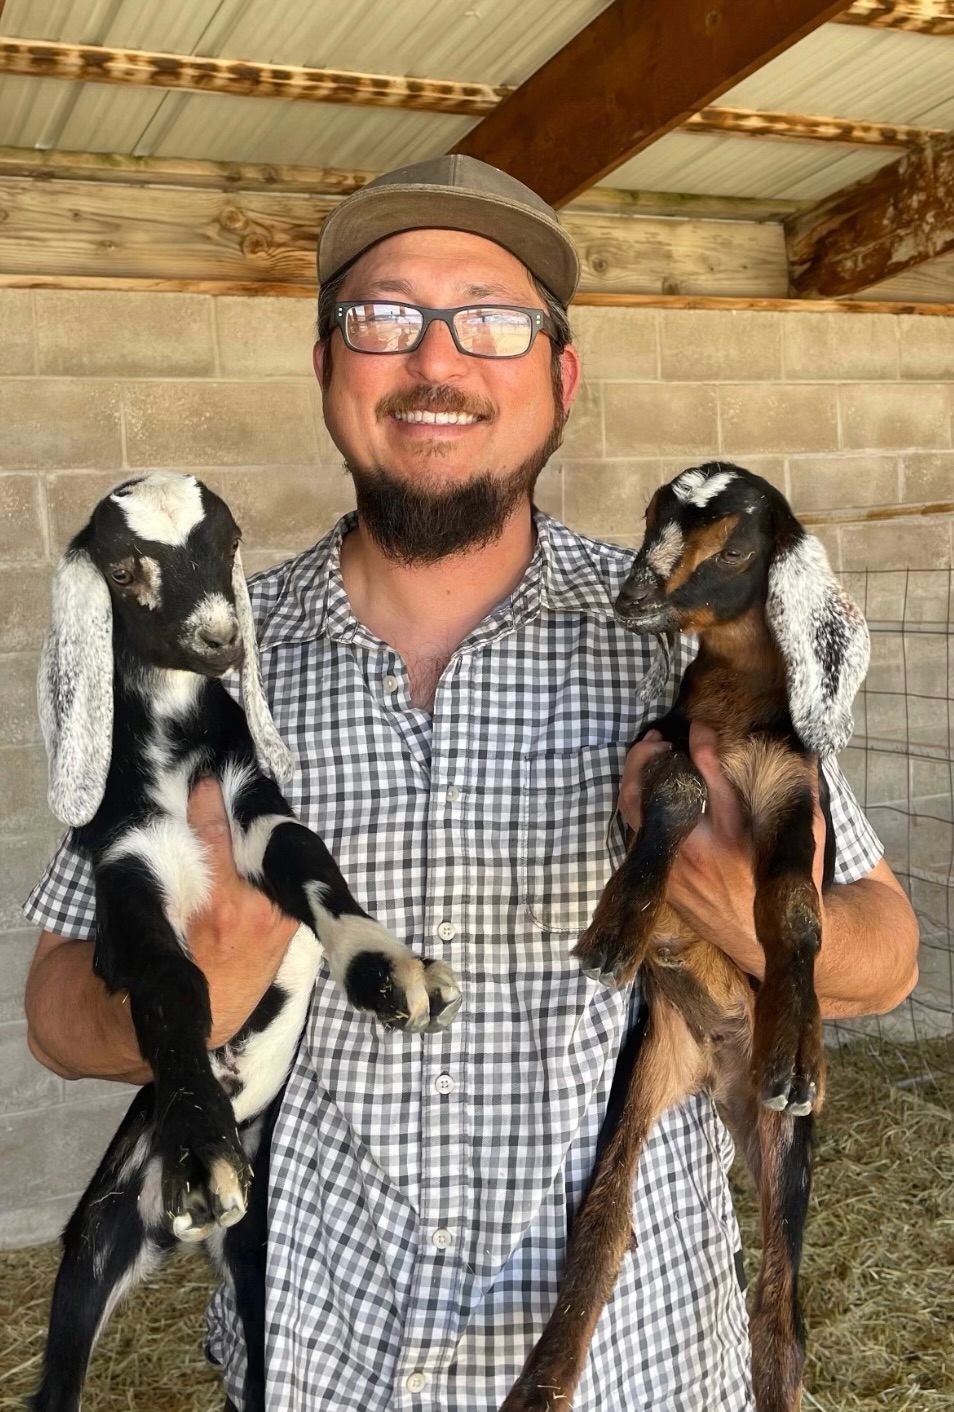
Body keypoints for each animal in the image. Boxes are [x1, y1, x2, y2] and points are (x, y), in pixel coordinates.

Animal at [30, 477, 462, 1412]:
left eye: (225, 541)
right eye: (125, 567)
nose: (221, 637)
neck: (176, 746)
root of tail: (170, 1231)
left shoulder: (256, 804)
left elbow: (312, 865)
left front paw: (389, 969)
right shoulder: (129, 871)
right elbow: (172, 986)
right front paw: (201, 1142)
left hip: (255, 1260)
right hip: (96, 1240)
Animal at [508, 465, 869, 1412]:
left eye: (738, 548)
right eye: (650, 520)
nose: (634, 597)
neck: (738, 705)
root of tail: (715, 1071)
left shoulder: (793, 795)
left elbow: (795, 906)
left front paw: (797, 1041)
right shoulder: (656, 749)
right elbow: (677, 794)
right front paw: (617, 928)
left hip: (787, 1147)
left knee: (779, 1309)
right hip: (638, 1079)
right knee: (603, 1224)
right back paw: (543, 1382)